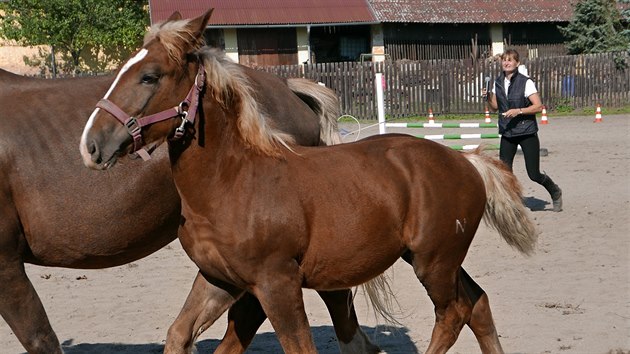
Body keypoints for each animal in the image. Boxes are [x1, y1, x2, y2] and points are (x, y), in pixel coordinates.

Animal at [80, 9, 540, 354]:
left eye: (150, 76)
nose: (91, 145)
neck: (233, 183)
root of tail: (467, 161)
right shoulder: (219, 280)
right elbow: (180, 335)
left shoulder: (277, 284)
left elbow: (298, 346)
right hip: (435, 260)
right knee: (478, 305)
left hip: (435, 263)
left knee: (454, 315)